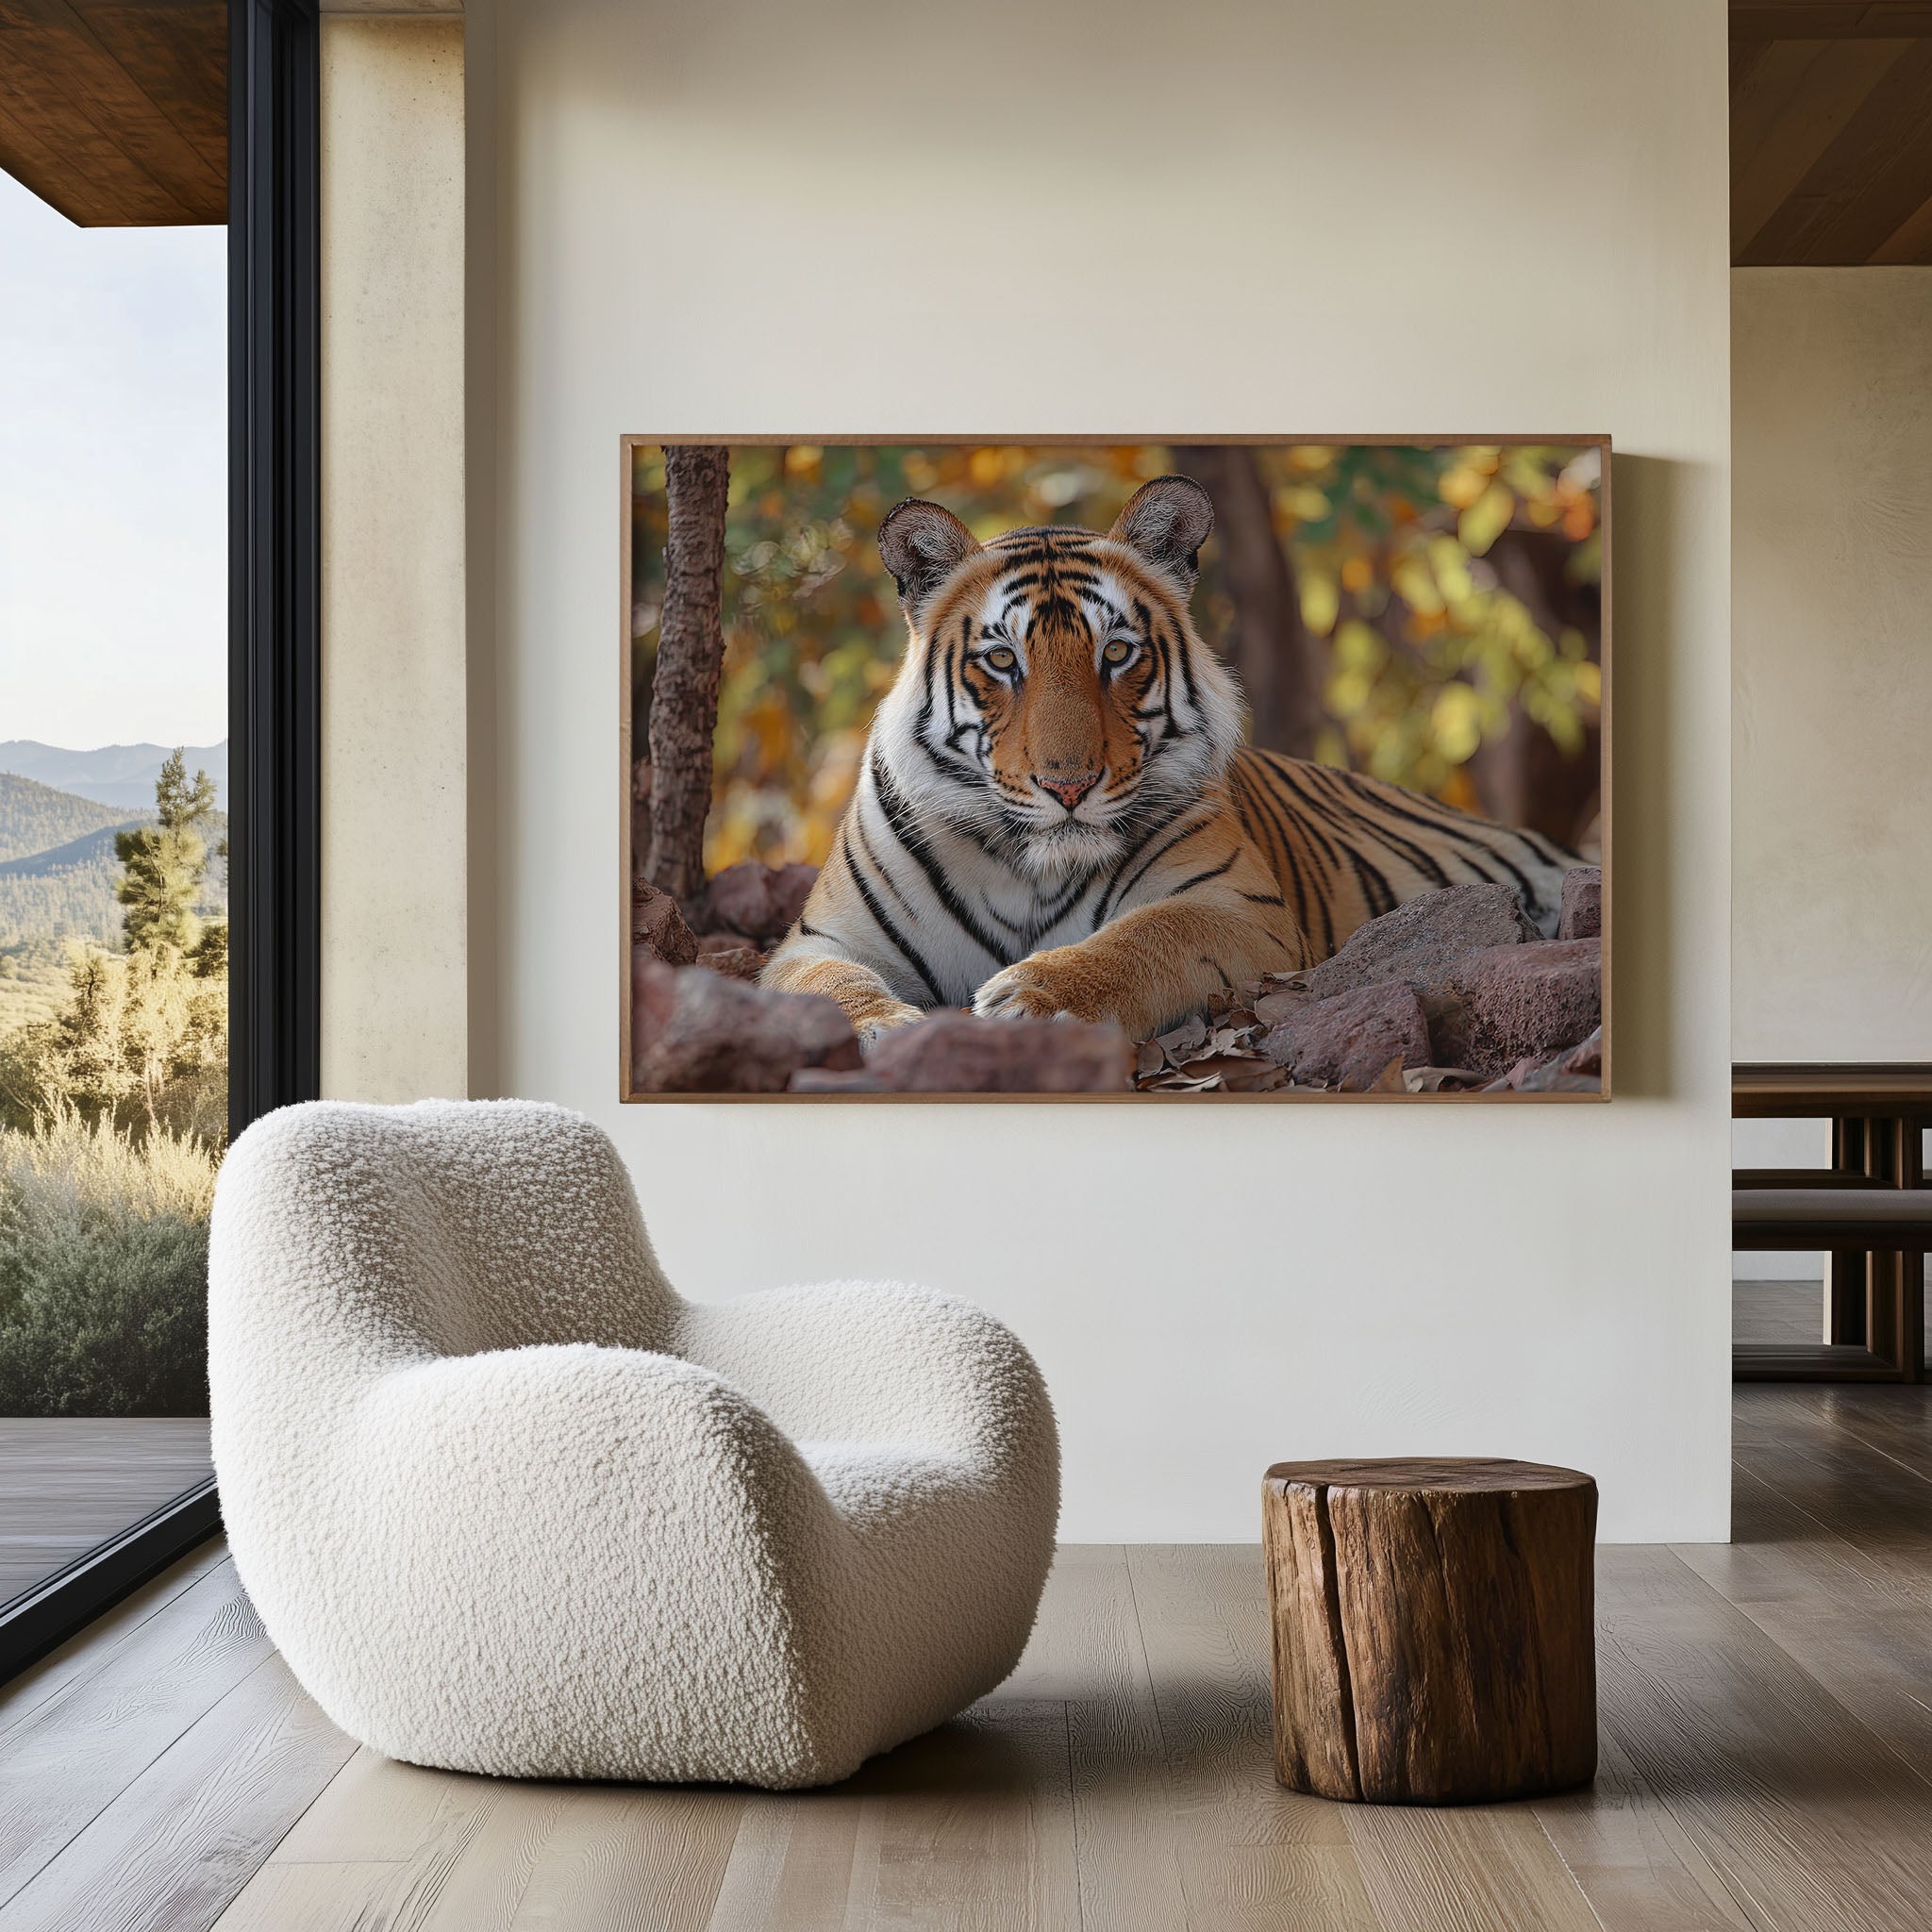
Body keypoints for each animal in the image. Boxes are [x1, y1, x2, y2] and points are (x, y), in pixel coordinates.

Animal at [760, 474, 1579, 1047]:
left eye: (1117, 653)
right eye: (1001, 660)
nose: (1068, 785)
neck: (1028, 871)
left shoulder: (1236, 909)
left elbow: (1142, 940)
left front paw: (1028, 998)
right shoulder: (822, 940)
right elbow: (830, 983)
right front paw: (882, 1027)